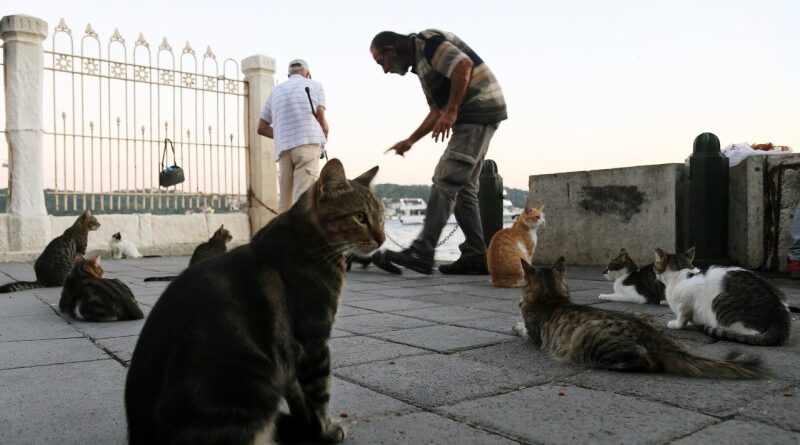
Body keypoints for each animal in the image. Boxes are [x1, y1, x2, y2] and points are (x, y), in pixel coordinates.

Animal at [125, 158, 384, 442]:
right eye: (360, 217)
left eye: (382, 217)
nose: (383, 238)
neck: (309, 239)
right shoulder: (314, 340)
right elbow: (320, 394)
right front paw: (325, 430)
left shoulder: (290, 356)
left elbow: (298, 394)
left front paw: (308, 426)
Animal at [516, 256, 764, 378]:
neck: (552, 297)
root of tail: (658, 339)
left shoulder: (533, 334)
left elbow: (523, 329)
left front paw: (516, 325)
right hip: (636, 314)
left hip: (590, 339)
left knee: (647, 362)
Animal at [652, 248, 792, 346]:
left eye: (654, 266)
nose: (654, 272)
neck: (680, 275)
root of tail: (779, 312)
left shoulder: (686, 302)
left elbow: (682, 317)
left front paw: (676, 324)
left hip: (720, 302)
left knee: (751, 333)